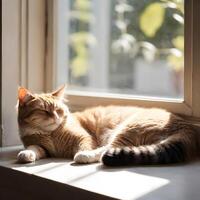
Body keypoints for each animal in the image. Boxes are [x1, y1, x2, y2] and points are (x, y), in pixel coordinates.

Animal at [16, 86, 200, 166]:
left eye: (58, 110)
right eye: (44, 111)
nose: (55, 117)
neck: (50, 134)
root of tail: (187, 126)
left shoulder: (84, 138)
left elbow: (84, 146)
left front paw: (81, 153)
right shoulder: (41, 146)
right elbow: (34, 148)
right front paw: (26, 154)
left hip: (127, 128)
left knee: (107, 149)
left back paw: (84, 157)